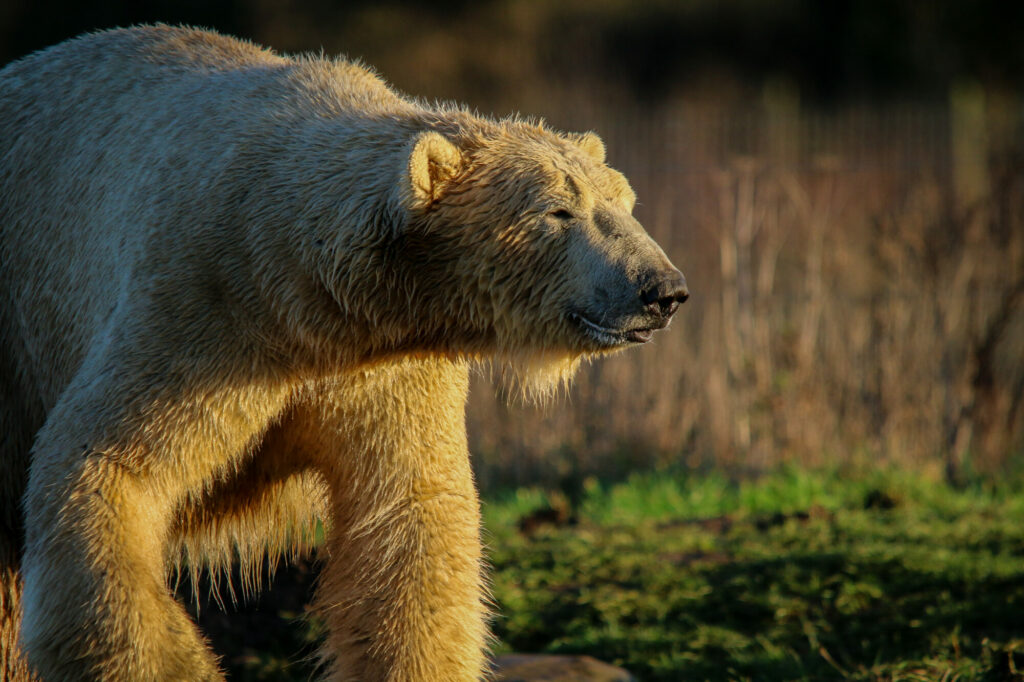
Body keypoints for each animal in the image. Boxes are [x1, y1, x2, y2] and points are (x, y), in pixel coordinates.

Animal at [0, 25, 688, 681]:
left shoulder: (385, 366)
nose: (663, 290)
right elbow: (106, 467)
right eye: (559, 210)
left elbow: (409, 525)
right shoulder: (198, 313)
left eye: (624, 202)